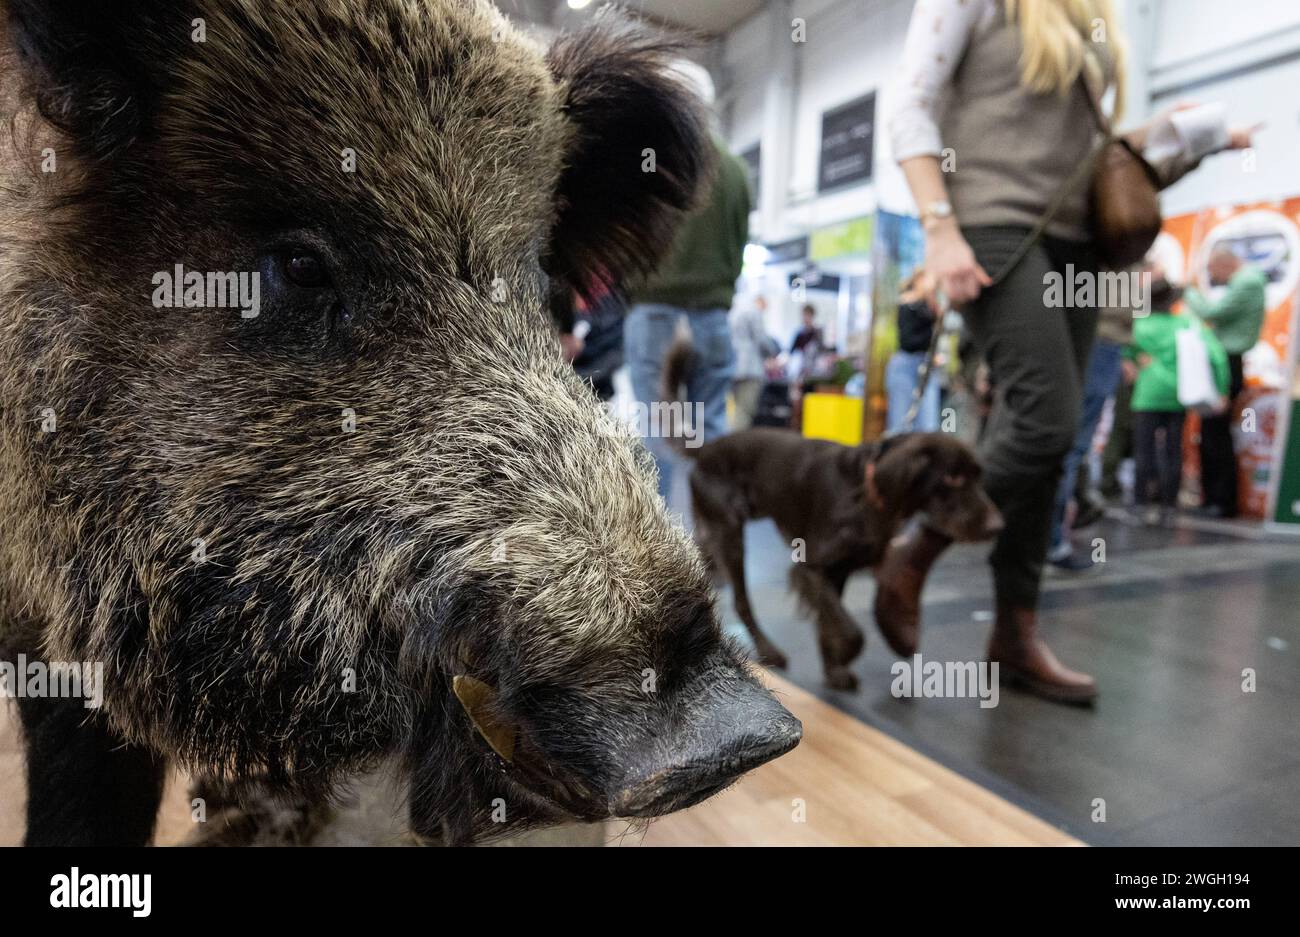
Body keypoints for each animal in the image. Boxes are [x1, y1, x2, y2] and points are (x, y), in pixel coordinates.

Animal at [681, 428, 993, 686]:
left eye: (979, 475)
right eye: (953, 477)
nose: (997, 525)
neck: (865, 490)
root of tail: (706, 449)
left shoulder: (839, 570)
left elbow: (830, 621)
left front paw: (833, 669)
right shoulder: (810, 567)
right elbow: (852, 632)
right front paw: (844, 655)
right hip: (730, 534)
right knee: (741, 600)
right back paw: (768, 650)